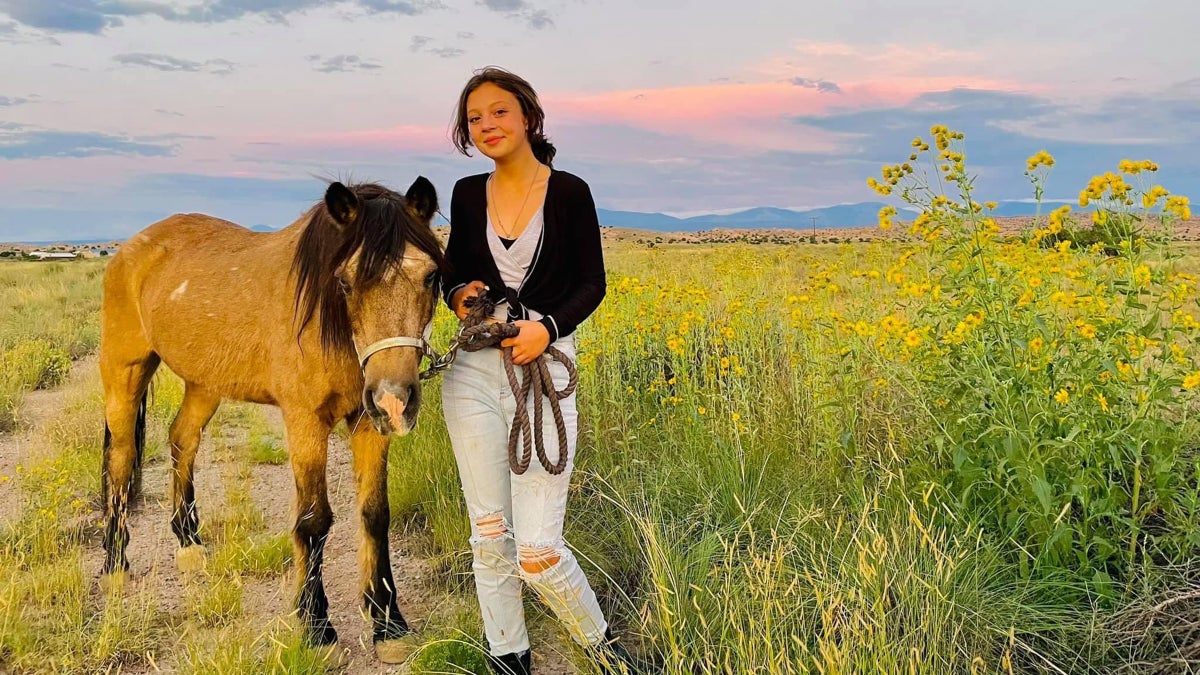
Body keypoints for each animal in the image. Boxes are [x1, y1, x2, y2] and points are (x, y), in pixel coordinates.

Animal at [97, 176, 446, 658]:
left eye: (430, 275)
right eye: (345, 281)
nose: (394, 401)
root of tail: (129, 249)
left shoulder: (367, 423)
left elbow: (375, 514)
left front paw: (388, 624)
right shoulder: (305, 422)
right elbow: (314, 521)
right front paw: (317, 627)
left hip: (205, 384)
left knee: (182, 439)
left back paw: (189, 544)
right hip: (124, 371)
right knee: (121, 458)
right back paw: (115, 562)